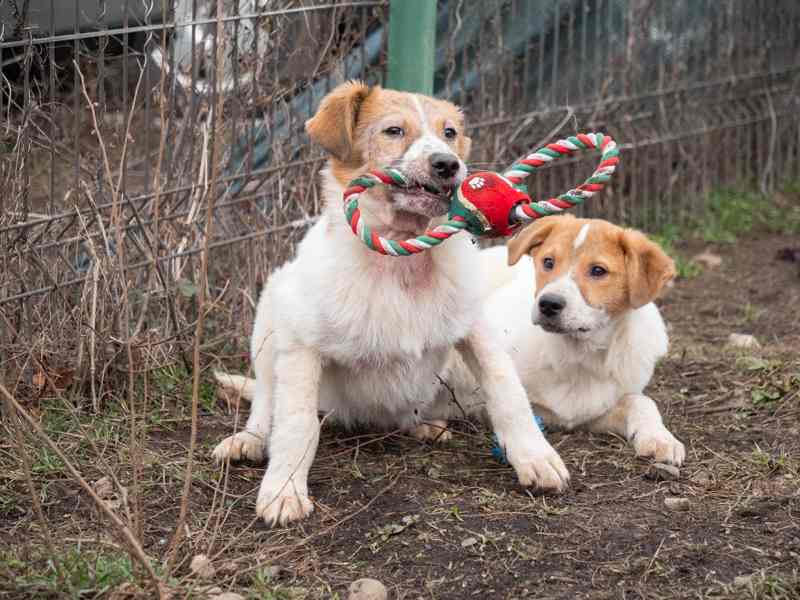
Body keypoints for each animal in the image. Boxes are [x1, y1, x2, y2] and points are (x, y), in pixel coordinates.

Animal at [212, 81, 569, 526]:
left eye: (449, 133)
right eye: (394, 131)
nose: (448, 164)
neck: (403, 261)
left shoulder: (477, 329)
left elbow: (508, 393)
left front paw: (535, 457)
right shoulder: (300, 343)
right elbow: (295, 424)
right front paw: (283, 490)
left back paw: (426, 425)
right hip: (271, 308)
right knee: (265, 398)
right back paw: (250, 440)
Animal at [479, 215, 686, 465]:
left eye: (598, 270)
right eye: (548, 262)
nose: (548, 304)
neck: (578, 355)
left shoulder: (594, 414)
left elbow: (642, 401)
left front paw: (660, 438)